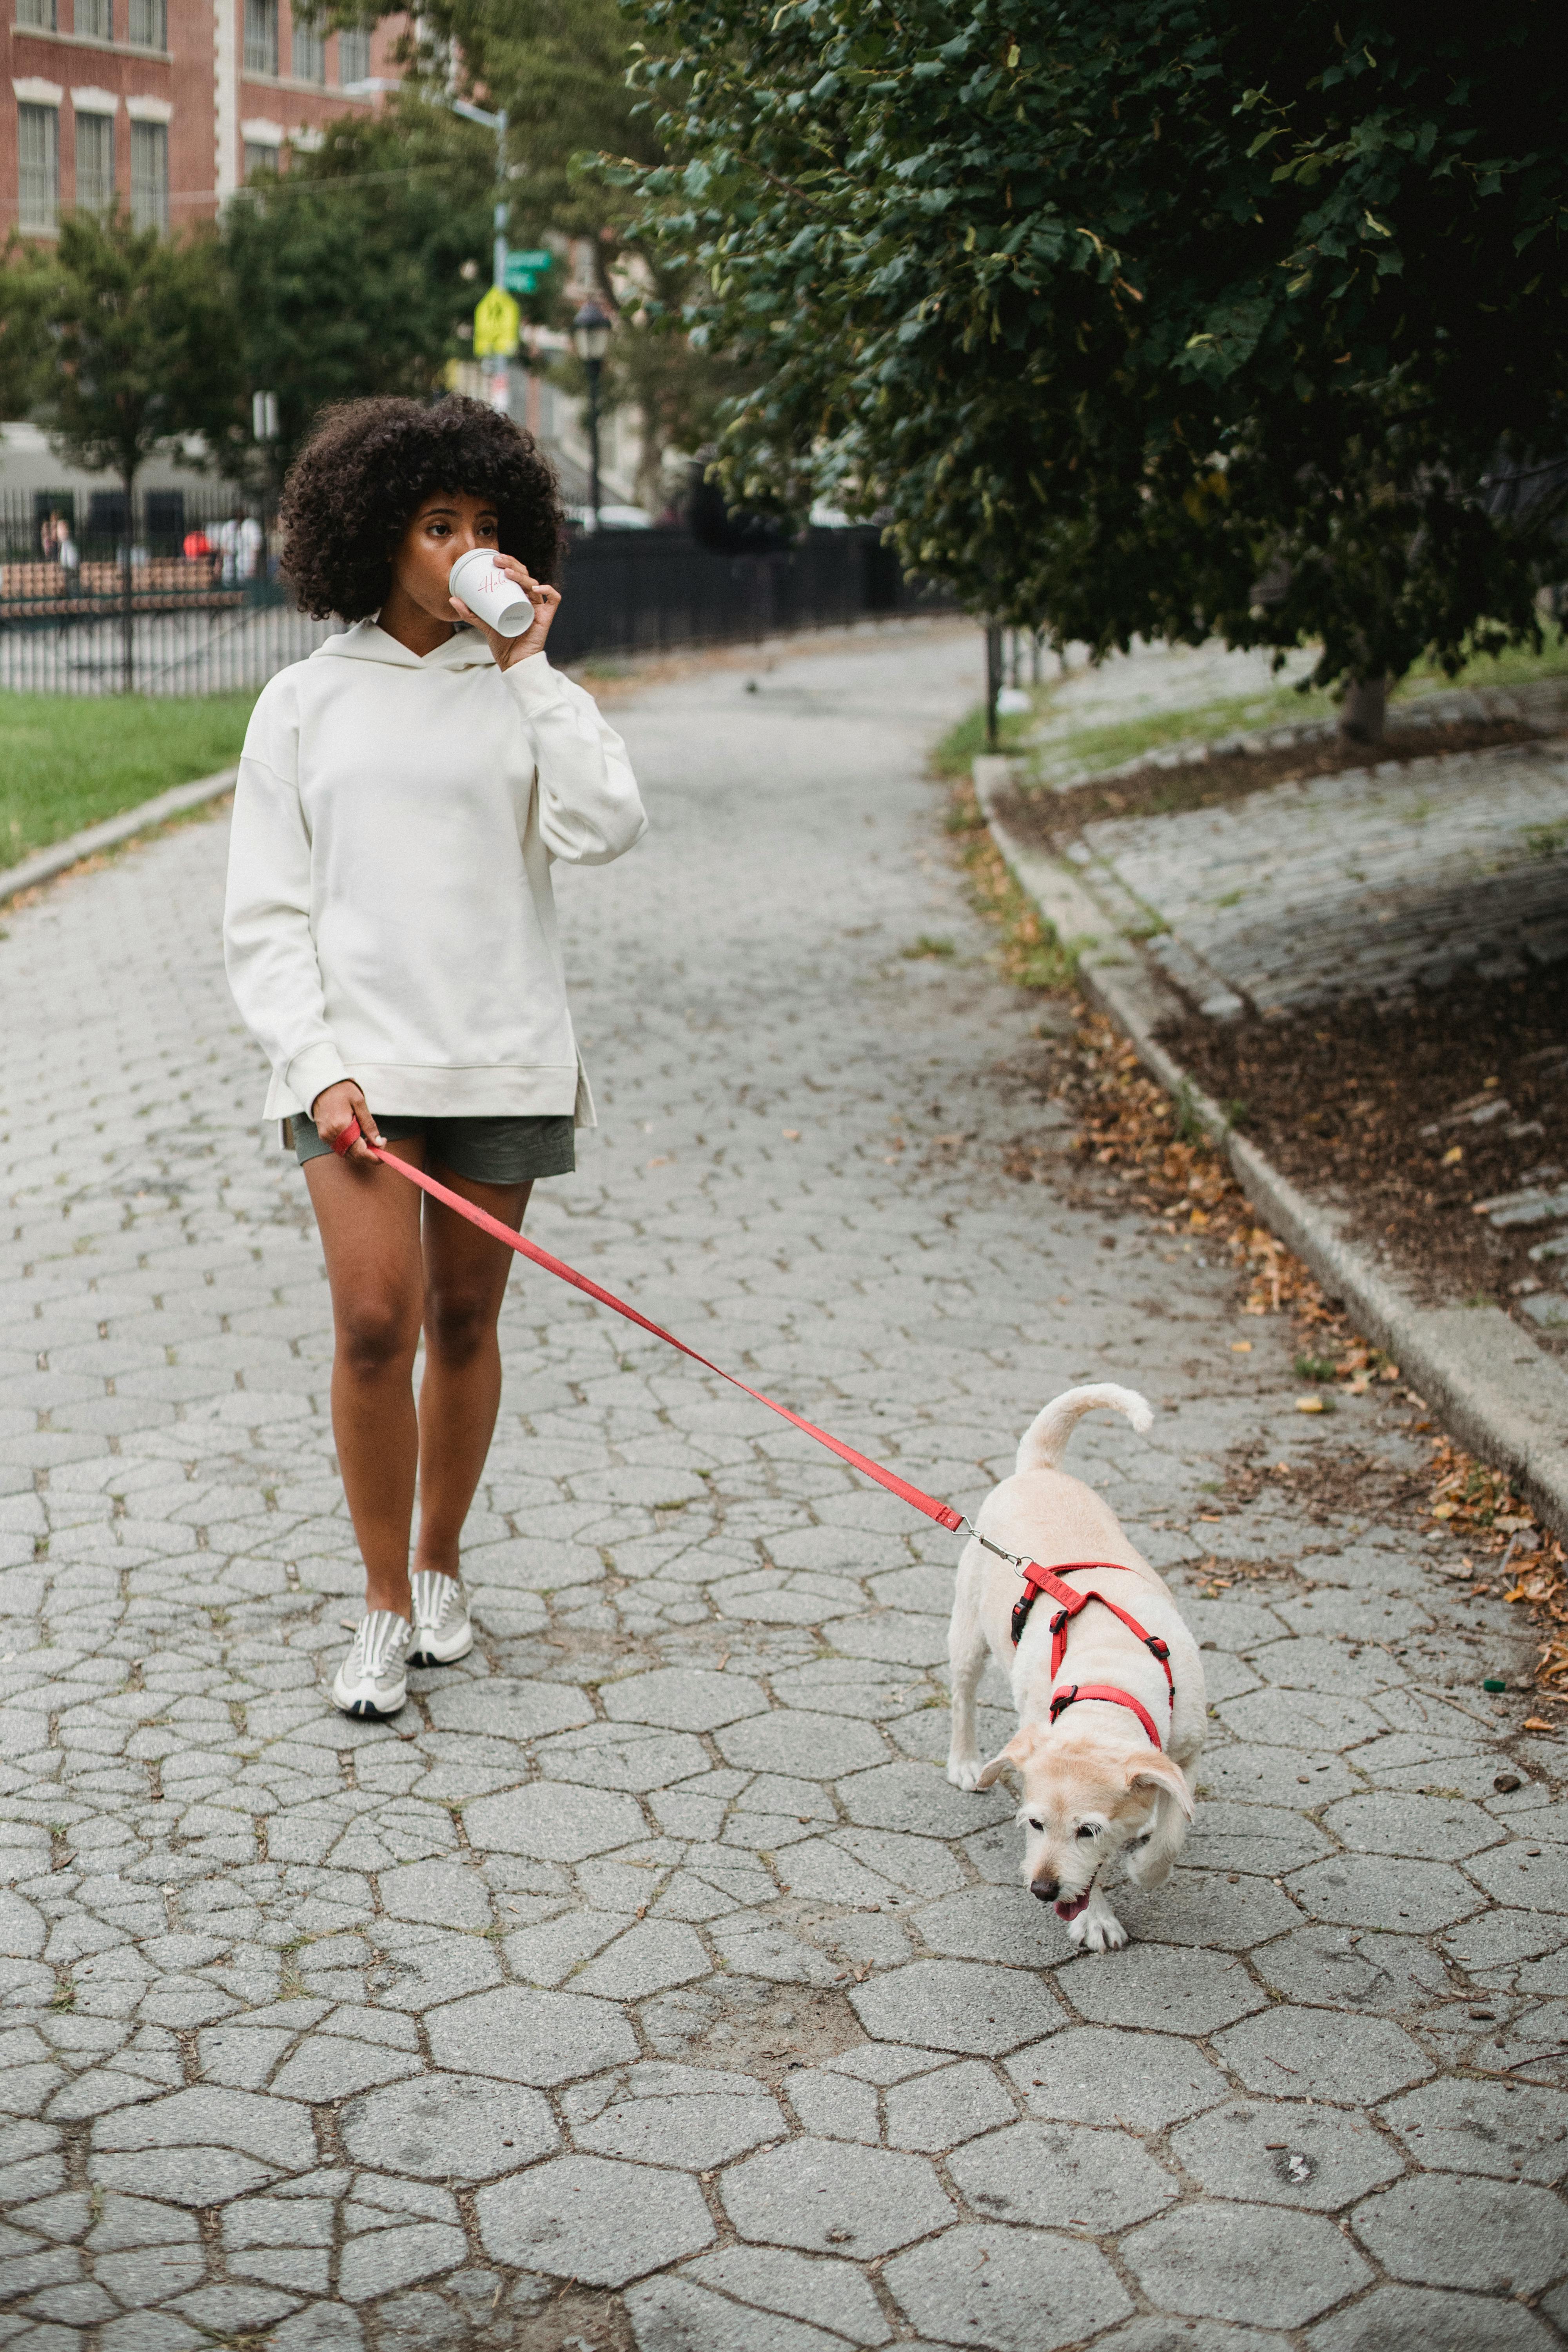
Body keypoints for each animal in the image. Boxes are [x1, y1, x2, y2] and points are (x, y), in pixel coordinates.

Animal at [949, 1383, 1213, 1957]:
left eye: (1087, 1831)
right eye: (1034, 1823)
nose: (1043, 1891)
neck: (1109, 1680)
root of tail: (1040, 1468)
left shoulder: (1186, 1751)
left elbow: (1172, 1830)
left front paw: (1147, 1865)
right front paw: (1096, 1919)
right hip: (968, 1632)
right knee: (962, 1696)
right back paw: (965, 1762)